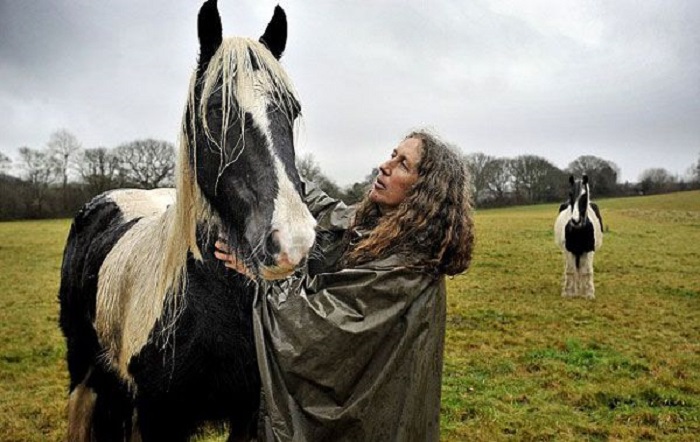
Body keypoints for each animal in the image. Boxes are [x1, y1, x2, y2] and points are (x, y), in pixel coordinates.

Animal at [58, 1, 316, 440]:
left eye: (292, 110)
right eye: (216, 110)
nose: (293, 241)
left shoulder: (248, 412)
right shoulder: (158, 418)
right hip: (83, 370)